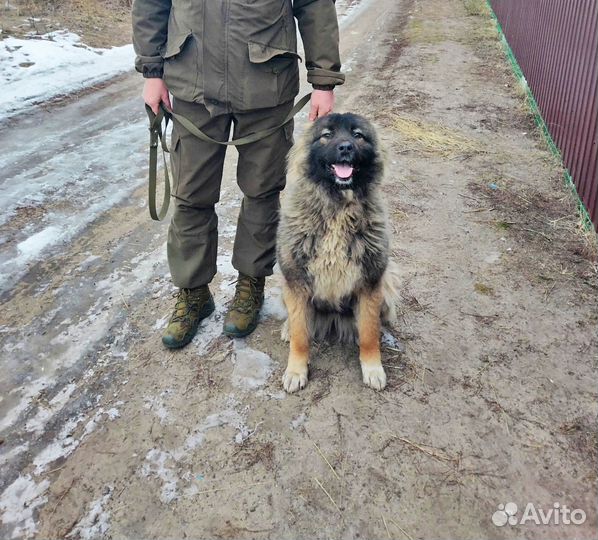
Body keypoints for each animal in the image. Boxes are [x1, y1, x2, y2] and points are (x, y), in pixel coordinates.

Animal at [278, 112, 400, 394]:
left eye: (357, 135)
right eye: (327, 135)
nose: (345, 148)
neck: (337, 207)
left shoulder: (370, 282)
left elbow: (368, 334)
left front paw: (373, 367)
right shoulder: (297, 281)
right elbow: (301, 335)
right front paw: (296, 370)